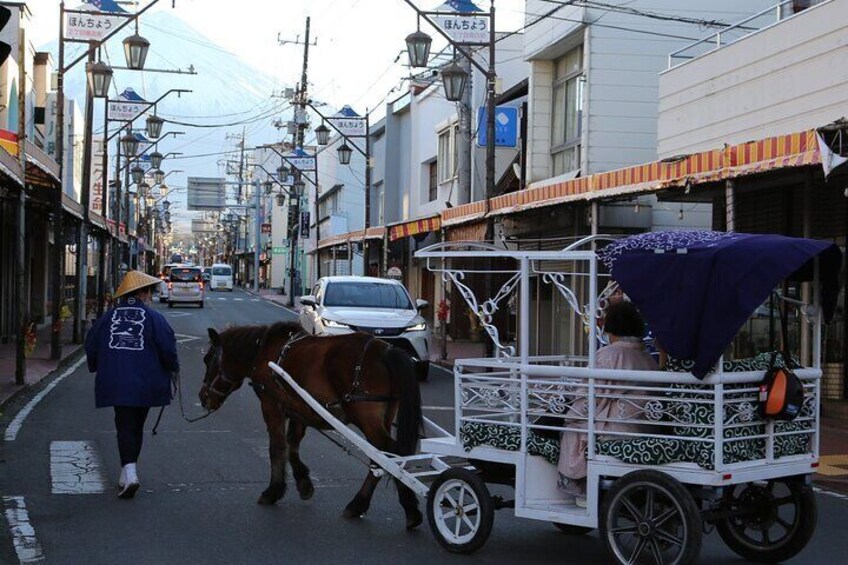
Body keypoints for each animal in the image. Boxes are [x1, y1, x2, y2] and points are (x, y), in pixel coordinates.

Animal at [199, 322, 424, 528]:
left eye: (207, 359)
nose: (203, 397)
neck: (263, 351)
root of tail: (386, 350)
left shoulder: (271, 405)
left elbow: (277, 447)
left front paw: (273, 491)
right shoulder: (298, 408)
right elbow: (292, 445)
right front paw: (303, 483)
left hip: (366, 417)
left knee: (387, 454)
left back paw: (379, 505)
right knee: (383, 457)